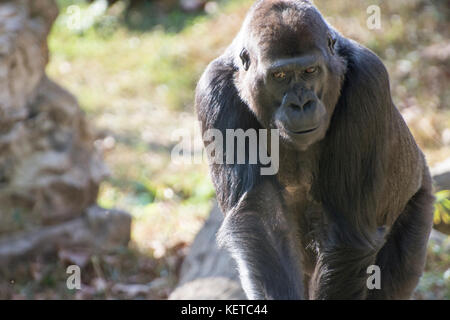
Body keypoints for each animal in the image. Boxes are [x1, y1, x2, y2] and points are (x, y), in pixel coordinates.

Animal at [195, 0, 434, 300]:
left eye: (310, 71)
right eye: (280, 76)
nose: (301, 104)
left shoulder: (369, 78)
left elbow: (348, 231)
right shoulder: (213, 90)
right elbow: (260, 218)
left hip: (420, 197)